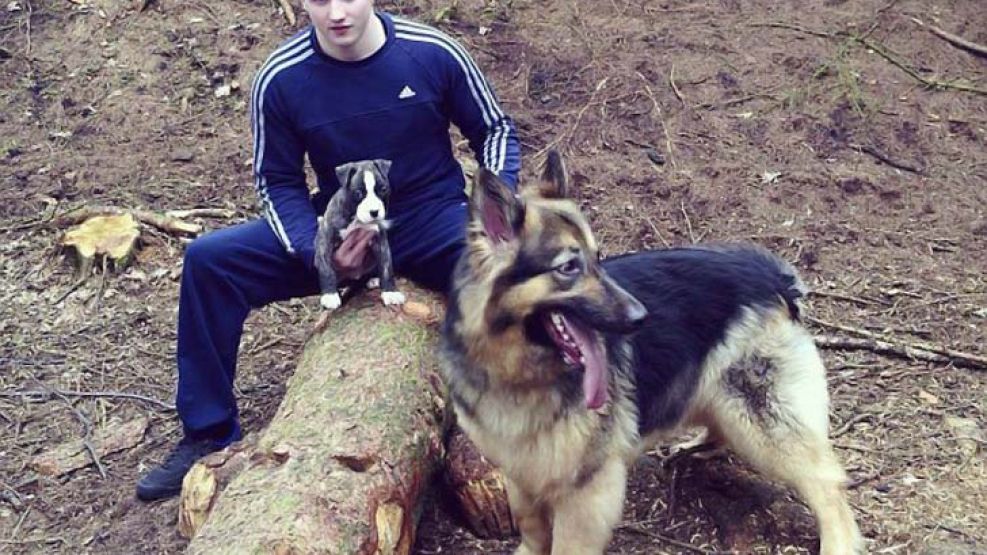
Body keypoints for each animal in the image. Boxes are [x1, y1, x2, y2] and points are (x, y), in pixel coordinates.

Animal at [440, 150, 864, 552]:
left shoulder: (586, 493)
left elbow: (564, 543)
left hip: (762, 421)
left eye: (597, 259)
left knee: (827, 486)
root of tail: (773, 276)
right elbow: (532, 529)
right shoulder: (521, 474)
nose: (641, 316)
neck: (521, 372)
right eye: (569, 267)